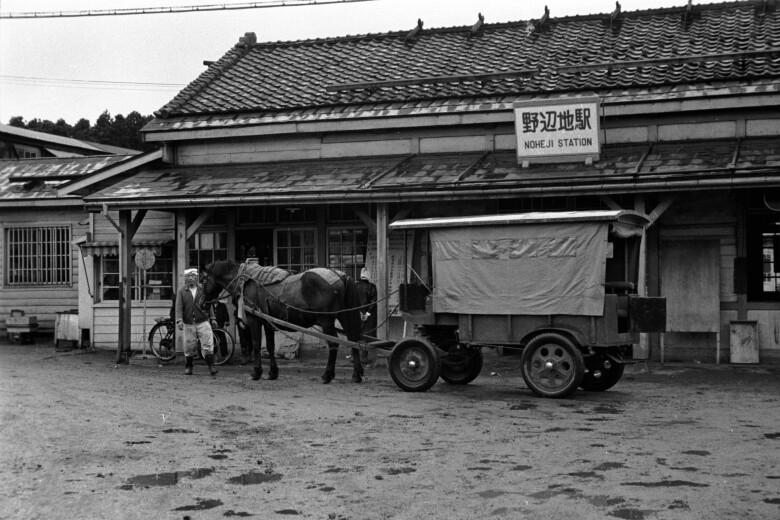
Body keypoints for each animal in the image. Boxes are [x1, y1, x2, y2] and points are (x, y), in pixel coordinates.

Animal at [206, 258, 368, 384]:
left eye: (203, 279)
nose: (203, 302)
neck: (246, 280)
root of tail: (339, 275)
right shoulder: (268, 323)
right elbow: (270, 346)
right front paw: (272, 372)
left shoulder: (255, 320)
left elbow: (257, 345)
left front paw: (256, 372)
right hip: (344, 316)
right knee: (354, 340)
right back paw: (356, 374)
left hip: (326, 320)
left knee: (334, 344)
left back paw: (327, 375)